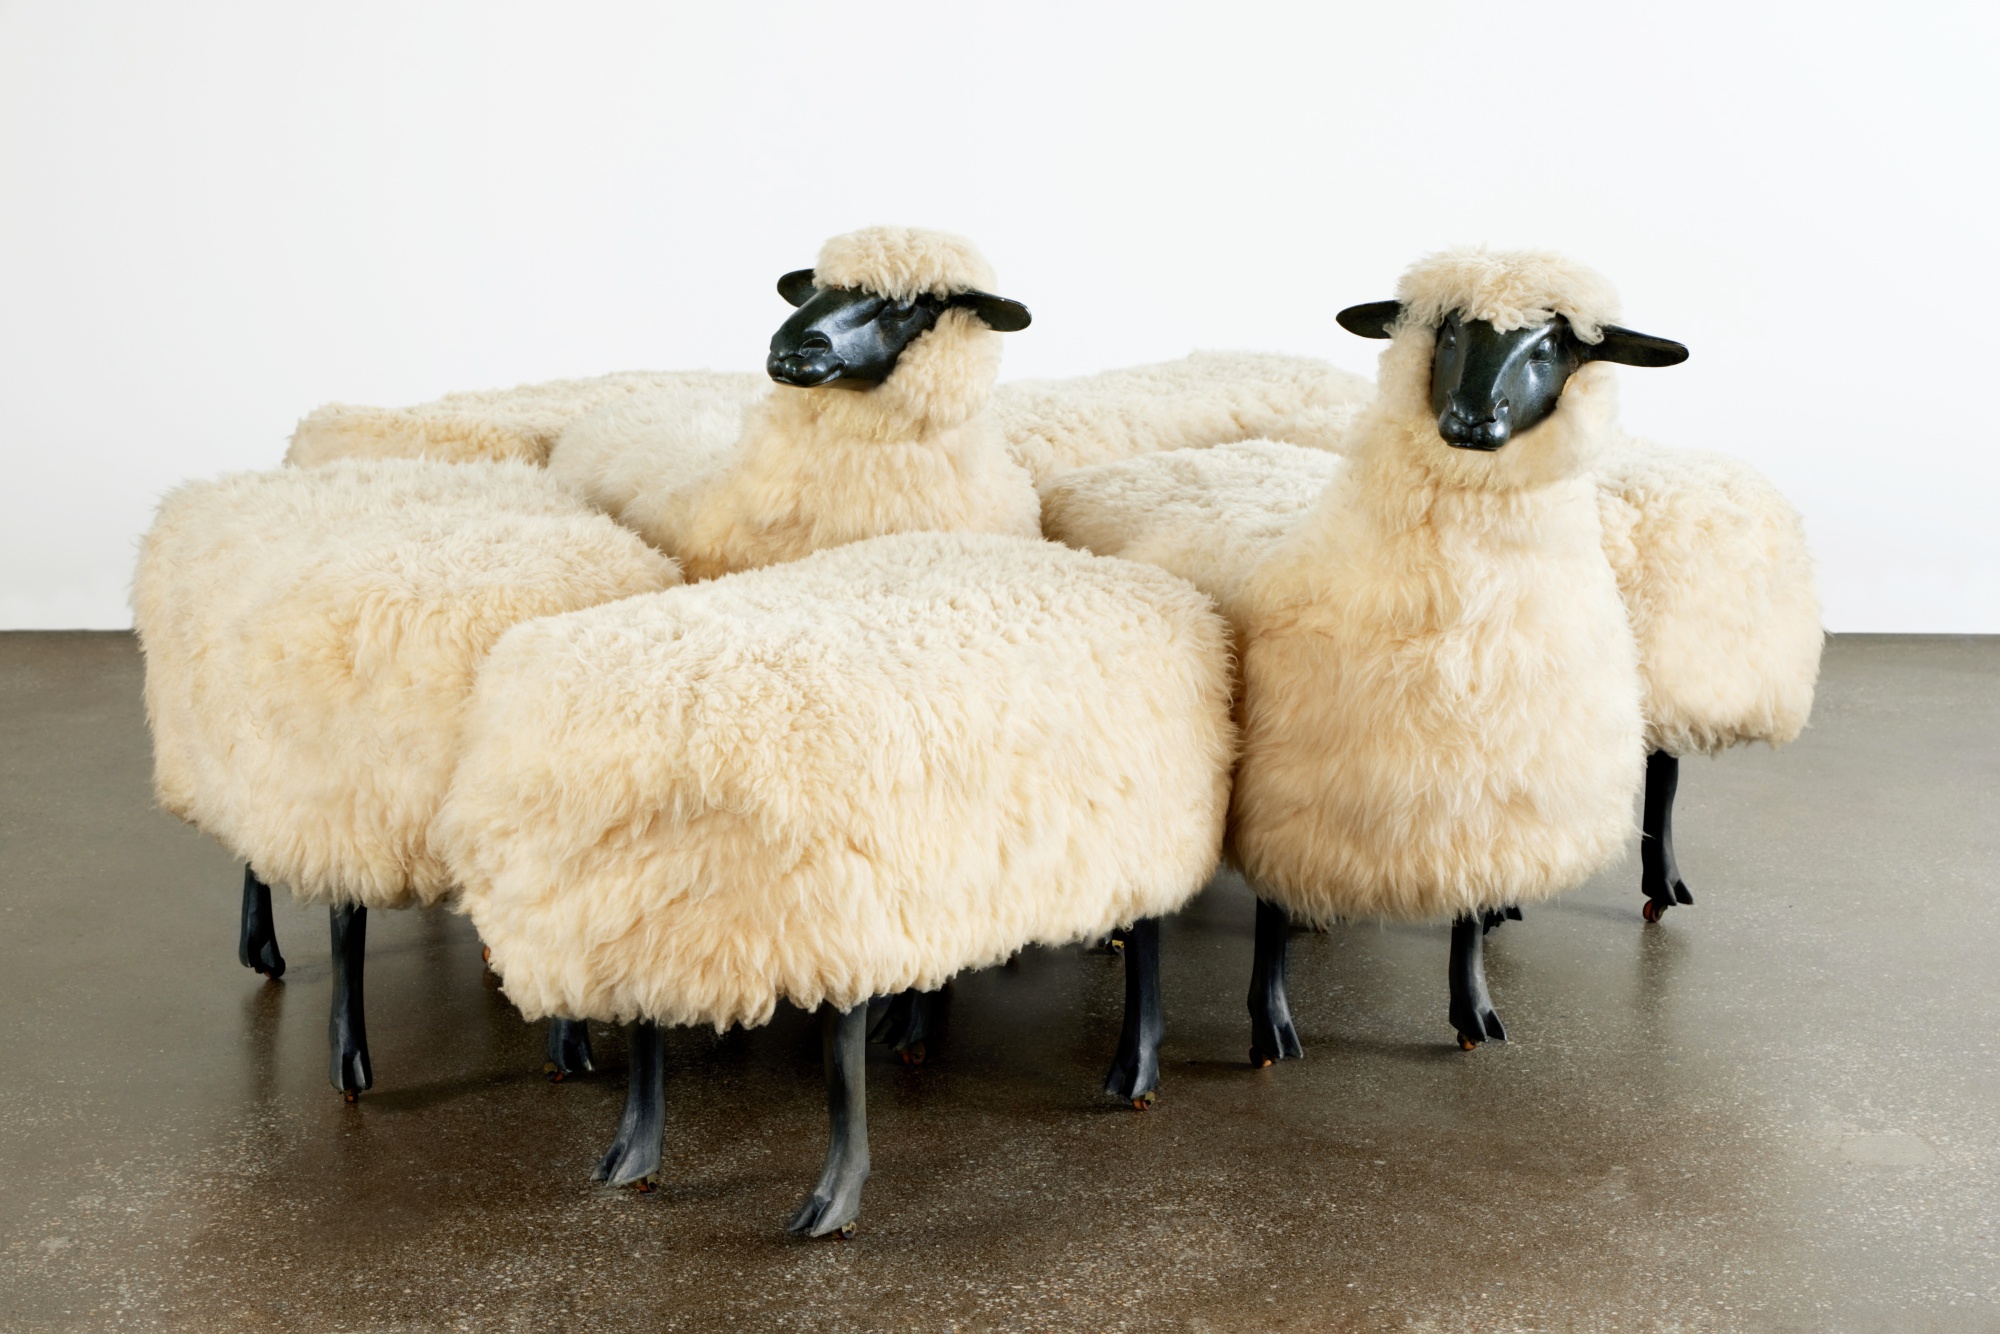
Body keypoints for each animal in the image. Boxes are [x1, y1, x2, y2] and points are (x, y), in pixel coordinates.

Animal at [438, 530, 1237, 1236]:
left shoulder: (827, 930)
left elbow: (840, 1075)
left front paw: (835, 1201)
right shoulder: (637, 920)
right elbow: (642, 1039)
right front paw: (632, 1158)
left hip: (1144, 837)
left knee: (1147, 943)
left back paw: (1134, 1070)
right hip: (929, 880)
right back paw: (915, 1024)